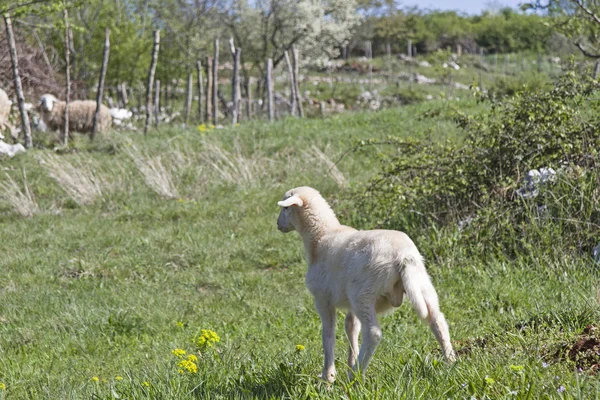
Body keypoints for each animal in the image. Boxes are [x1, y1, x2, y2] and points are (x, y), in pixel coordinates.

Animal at [276, 187, 454, 382]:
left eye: (285, 208)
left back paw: (356, 376)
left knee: (373, 333)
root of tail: (403, 255)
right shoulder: (348, 305)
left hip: (363, 293)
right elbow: (351, 329)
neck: (321, 236)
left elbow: (328, 335)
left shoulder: (322, 299)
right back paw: (451, 362)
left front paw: (328, 376)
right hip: (421, 283)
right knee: (437, 320)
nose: (278, 225)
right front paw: (348, 363)